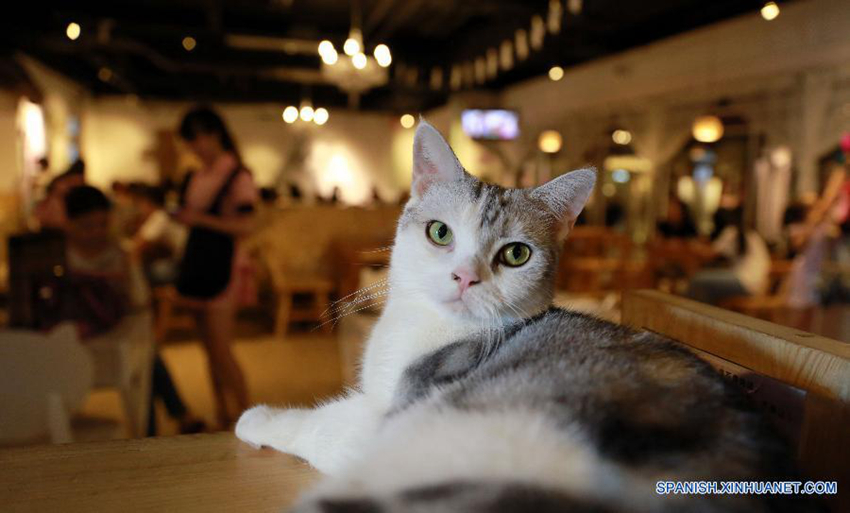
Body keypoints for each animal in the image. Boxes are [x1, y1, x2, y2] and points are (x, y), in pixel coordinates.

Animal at [235, 119, 804, 512]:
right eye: (440, 233)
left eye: (515, 255)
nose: (465, 277)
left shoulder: (396, 410)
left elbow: (325, 425)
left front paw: (258, 418)